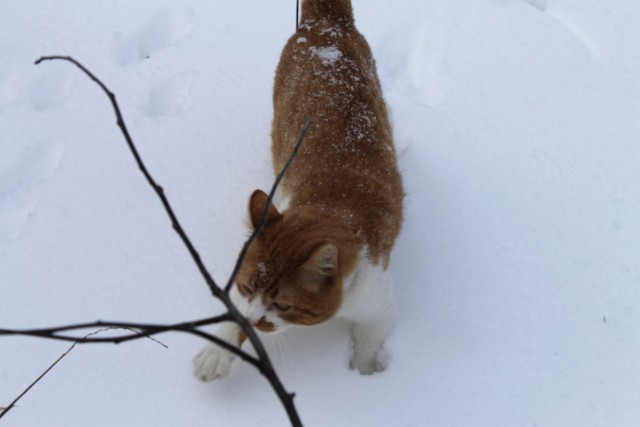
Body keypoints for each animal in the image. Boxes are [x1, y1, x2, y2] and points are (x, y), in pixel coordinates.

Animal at [192, 0, 402, 382]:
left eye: (283, 305)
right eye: (245, 288)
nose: (256, 320)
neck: (331, 204)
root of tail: (326, 24)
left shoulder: (378, 310)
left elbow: (366, 352)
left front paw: (365, 384)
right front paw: (219, 350)